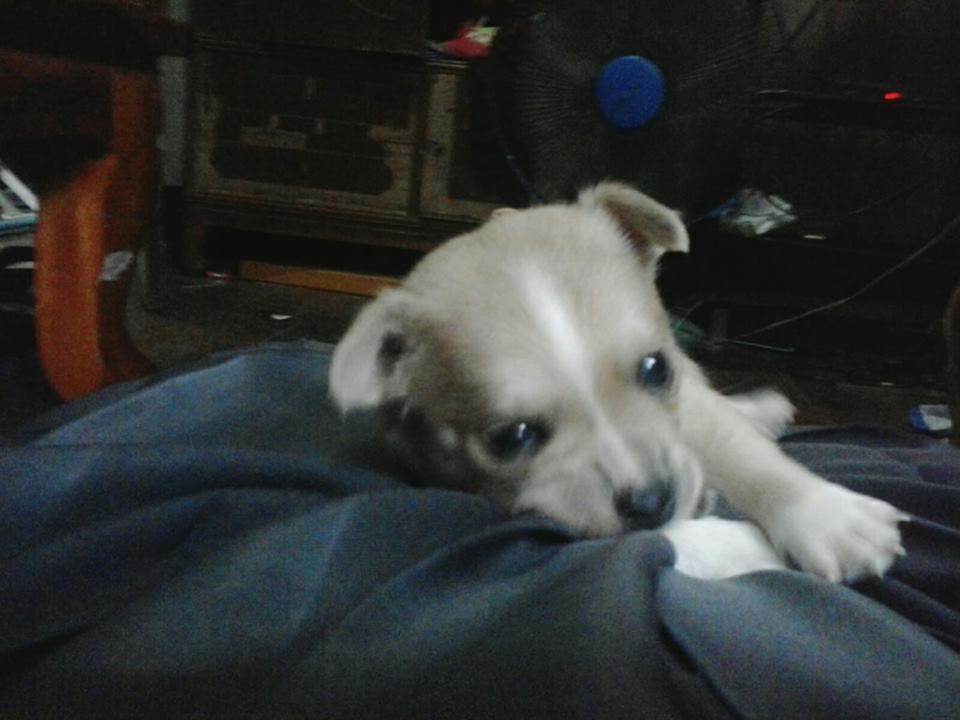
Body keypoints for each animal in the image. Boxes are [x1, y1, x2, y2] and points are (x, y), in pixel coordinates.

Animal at [329, 182, 907, 581]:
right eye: (513, 437)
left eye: (656, 369)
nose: (655, 501)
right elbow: (651, 540)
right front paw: (747, 546)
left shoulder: (688, 397)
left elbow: (744, 454)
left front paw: (830, 518)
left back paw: (762, 411)